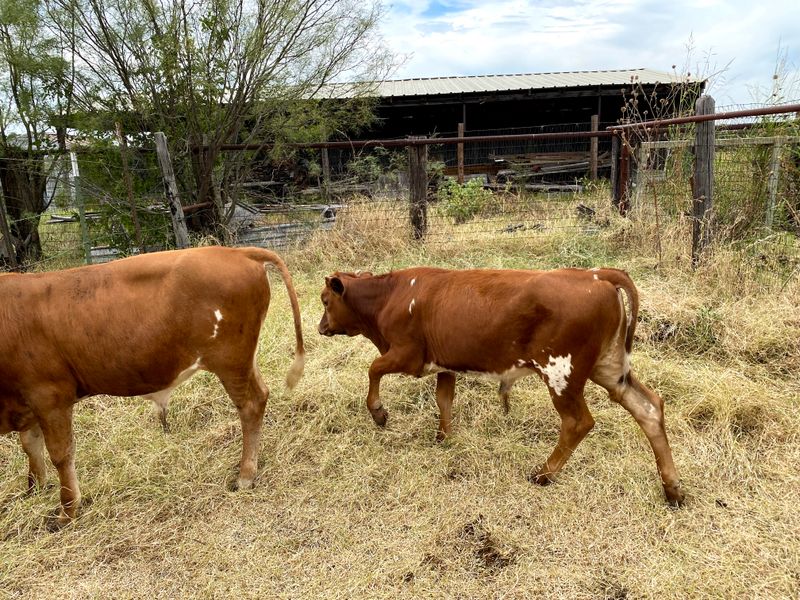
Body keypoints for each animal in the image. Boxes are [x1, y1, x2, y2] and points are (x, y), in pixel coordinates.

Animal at [0, 246, 305, 527]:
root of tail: (237, 251)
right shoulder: (28, 403)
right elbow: (31, 446)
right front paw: (34, 490)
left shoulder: (50, 395)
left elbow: (60, 454)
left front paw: (66, 511)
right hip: (244, 361)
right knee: (261, 395)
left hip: (231, 361)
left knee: (250, 405)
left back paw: (245, 476)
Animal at [318, 266, 684, 506]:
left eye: (324, 300)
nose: (320, 327)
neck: (391, 295)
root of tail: (595, 274)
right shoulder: (445, 364)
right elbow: (443, 399)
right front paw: (444, 436)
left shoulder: (407, 355)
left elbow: (373, 370)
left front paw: (378, 413)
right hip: (609, 368)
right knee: (649, 408)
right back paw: (672, 488)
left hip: (561, 373)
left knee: (578, 422)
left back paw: (544, 474)